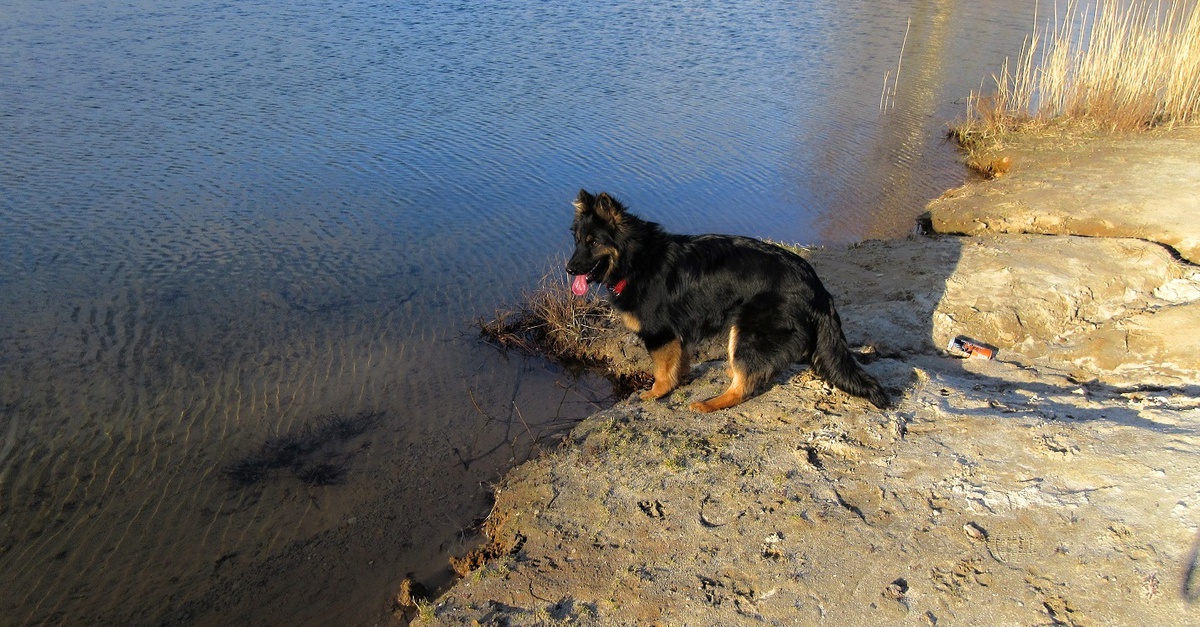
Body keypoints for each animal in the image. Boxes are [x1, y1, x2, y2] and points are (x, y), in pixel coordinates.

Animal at [566, 189, 889, 412]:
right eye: (577, 240)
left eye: (593, 242)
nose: (569, 269)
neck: (637, 259)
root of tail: (816, 285)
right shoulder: (678, 335)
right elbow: (678, 364)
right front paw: (678, 381)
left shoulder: (660, 334)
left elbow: (661, 371)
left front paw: (655, 393)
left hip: (745, 332)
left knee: (744, 386)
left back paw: (710, 404)